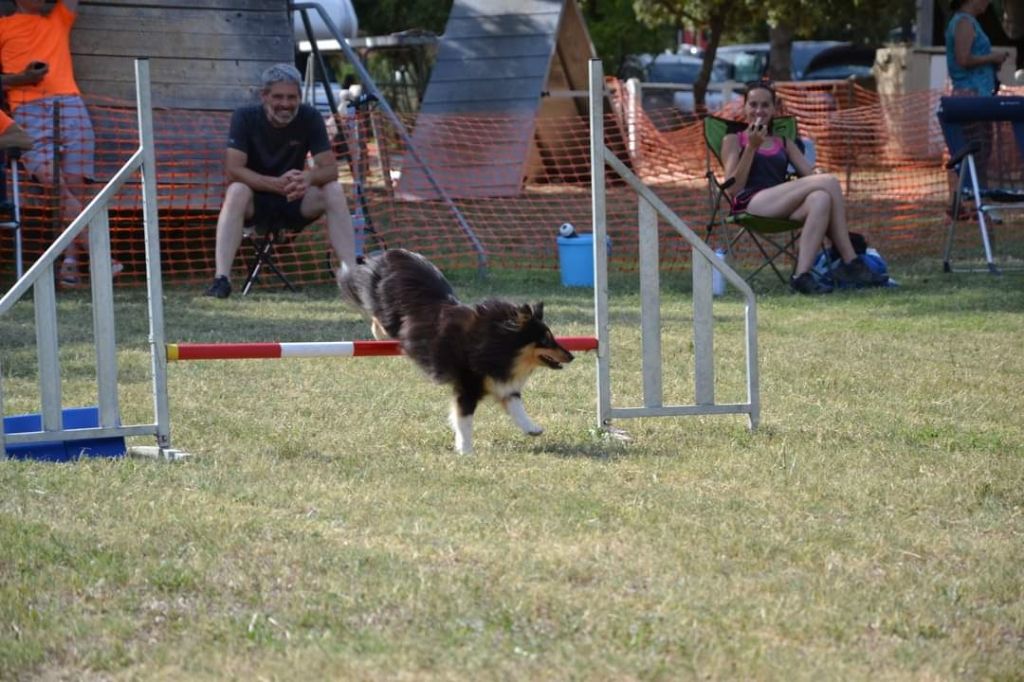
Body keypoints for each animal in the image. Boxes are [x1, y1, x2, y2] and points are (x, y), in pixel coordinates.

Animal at [337, 248, 573, 450]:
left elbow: (517, 407)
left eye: (551, 338)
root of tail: (389, 254)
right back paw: (379, 334)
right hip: (388, 311)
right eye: (546, 339)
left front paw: (532, 428)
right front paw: (465, 450)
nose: (571, 356)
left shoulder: (502, 382)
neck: (495, 342)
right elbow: (464, 420)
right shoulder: (467, 386)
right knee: (377, 317)